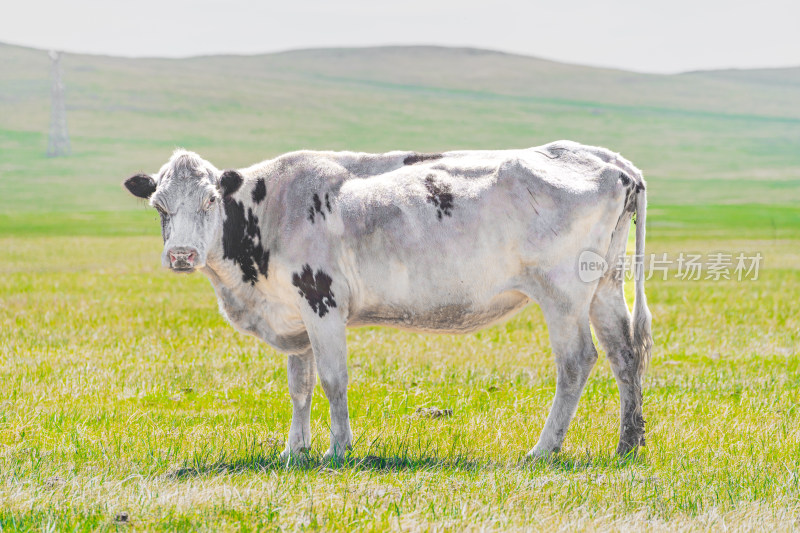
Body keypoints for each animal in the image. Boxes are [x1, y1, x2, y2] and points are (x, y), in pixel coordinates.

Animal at [123, 141, 648, 462]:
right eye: (159, 206)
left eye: (210, 200)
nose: (182, 254)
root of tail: (608, 160)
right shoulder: (295, 317)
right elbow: (300, 387)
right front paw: (294, 451)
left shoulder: (322, 300)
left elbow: (333, 381)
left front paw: (338, 450)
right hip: (605, 285)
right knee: (625, 354)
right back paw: (628, 443)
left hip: (562, 294)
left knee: (577, 361)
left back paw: (543, 450)